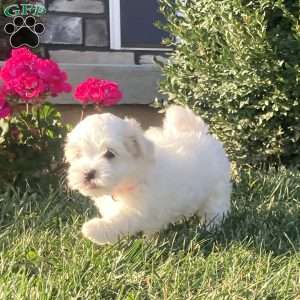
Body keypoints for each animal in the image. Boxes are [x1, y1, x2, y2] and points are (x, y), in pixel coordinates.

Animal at [64, 105, 231, 244]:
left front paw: (93, 229)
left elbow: (120, 220)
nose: (88, 173)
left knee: (215, 209)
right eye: (78, 154)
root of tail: (199, 132)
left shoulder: (139, 211)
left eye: (110, 154)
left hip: (217, 189)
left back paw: (208, 229)